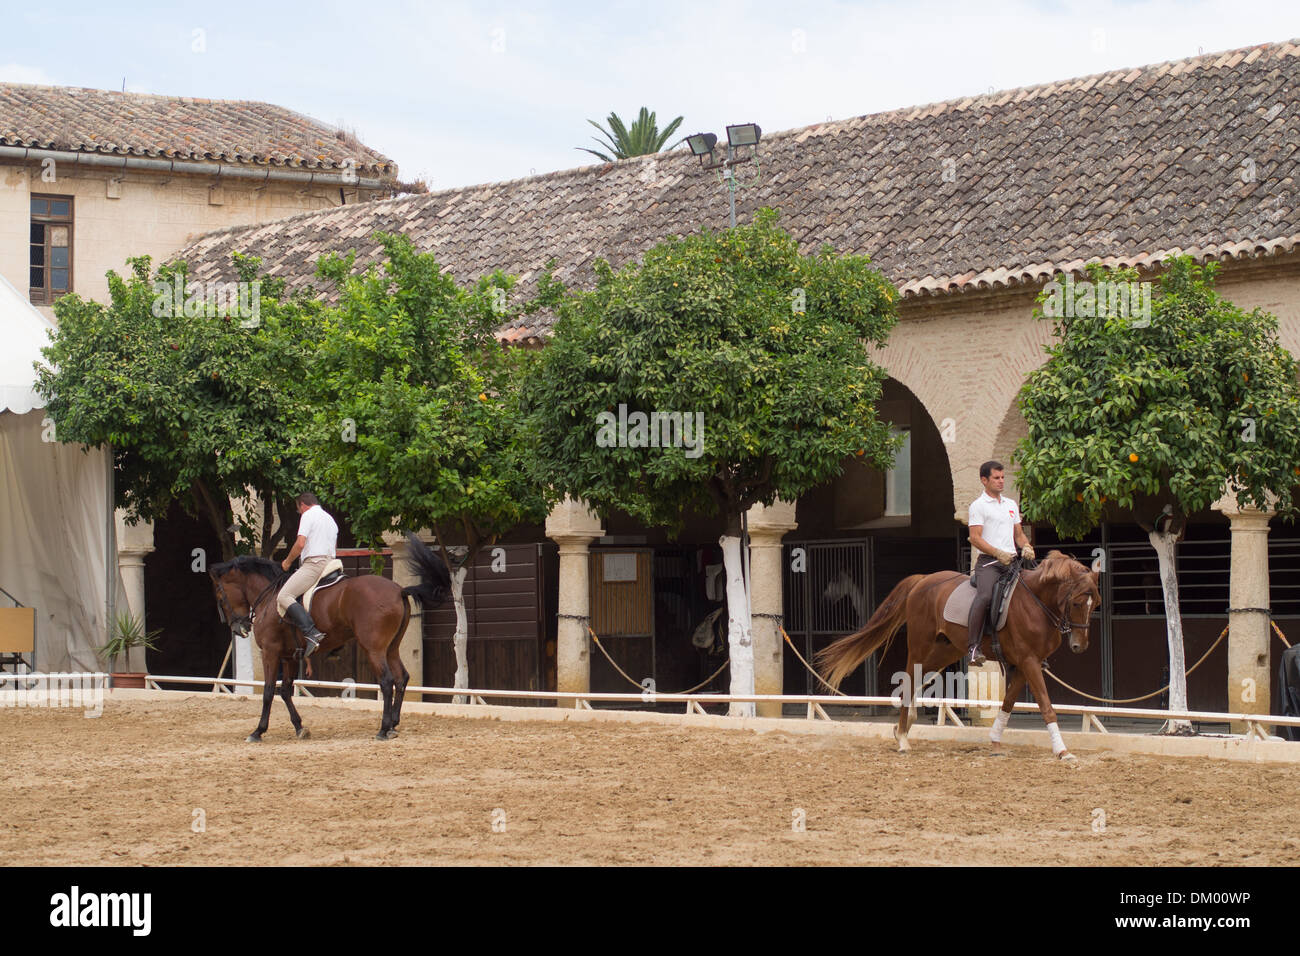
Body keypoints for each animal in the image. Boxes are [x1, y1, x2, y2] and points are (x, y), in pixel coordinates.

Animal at [209, 535, 452, 743]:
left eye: (220, 596)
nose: (239, 628)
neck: (269, 598)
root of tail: (399, 590)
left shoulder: (270, 652)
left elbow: (269, 691)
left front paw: (258, 731)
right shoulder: (289, 656)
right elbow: (285, 690)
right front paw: (299, 727)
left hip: (373, 648)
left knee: (386, 681)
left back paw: (383, 729)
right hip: (391, 648)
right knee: (401, 678)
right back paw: (393, 724)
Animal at [816, 554, 1102, 764]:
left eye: (1095, 604)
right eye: (1077, 603)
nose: (1079, 645)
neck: (1036, 604)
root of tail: (923, 581)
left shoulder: (1025, 663)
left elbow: (1008, 702)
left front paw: (995, 740)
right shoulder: (1028, 661)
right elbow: (1046, 705)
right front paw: (1063, 751)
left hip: (947, 650)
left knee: (919, 677)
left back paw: (903, 727)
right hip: (920, 644)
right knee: (909, 677)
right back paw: (903, 739)